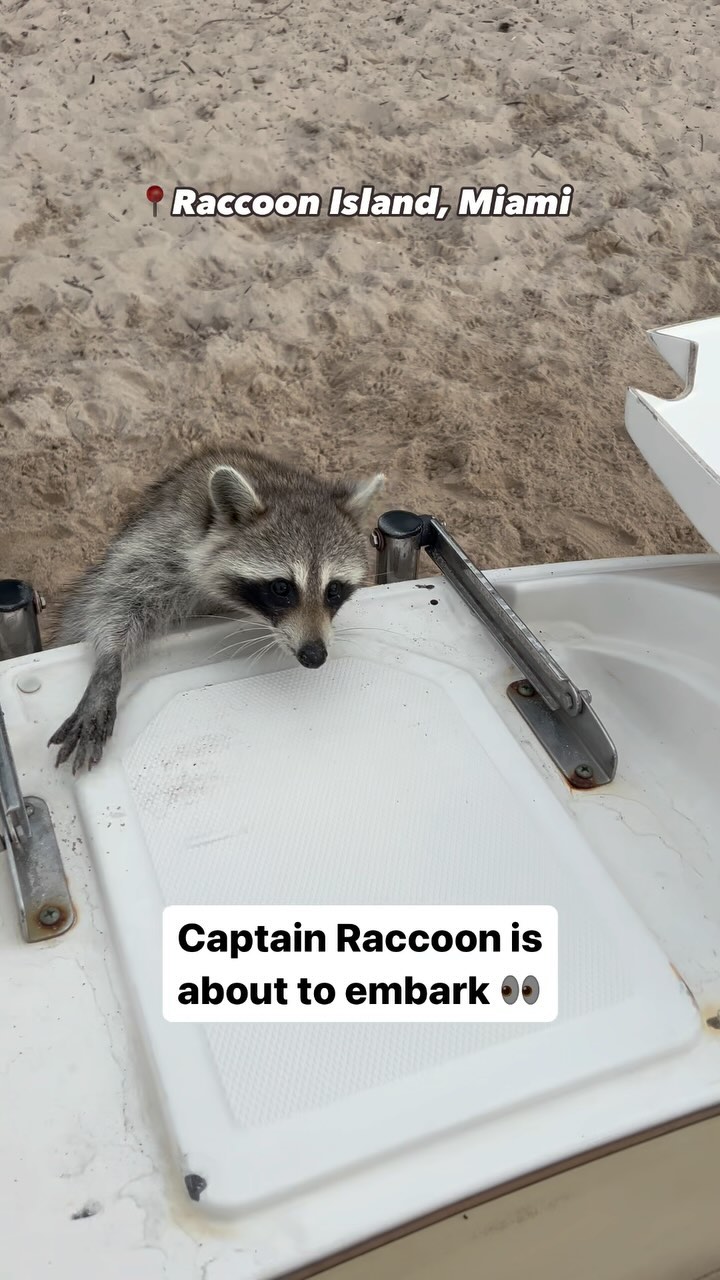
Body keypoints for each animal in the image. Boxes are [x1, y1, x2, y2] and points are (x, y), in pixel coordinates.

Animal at [49, 446, 384, 774]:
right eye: (281, 588)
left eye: (334, 589)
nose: (314, 655)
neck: (283, 485)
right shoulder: (161, 542)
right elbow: (115, 599)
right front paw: (108, 663)